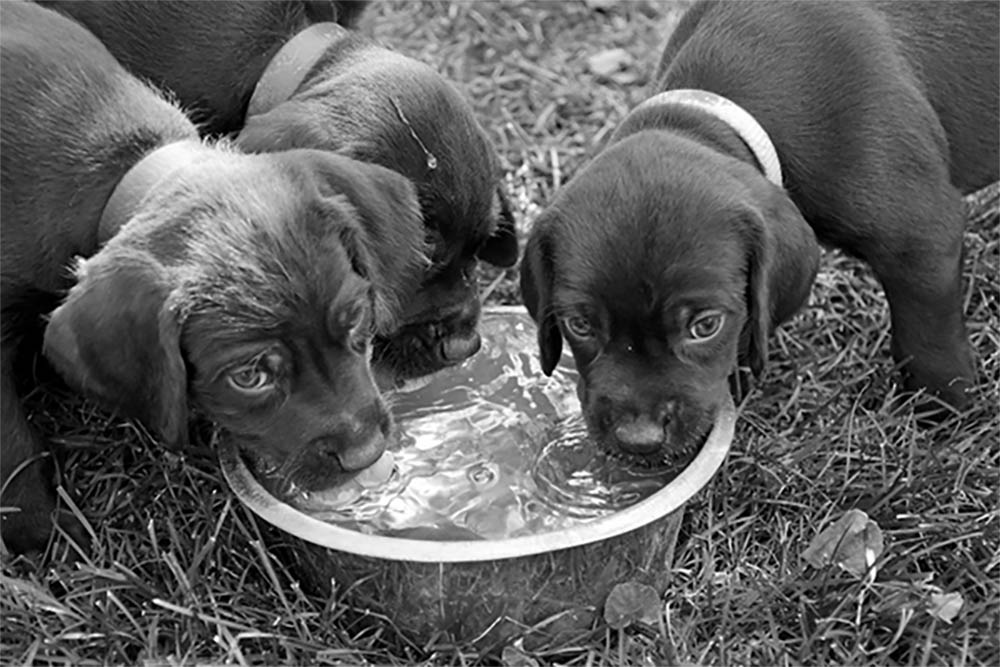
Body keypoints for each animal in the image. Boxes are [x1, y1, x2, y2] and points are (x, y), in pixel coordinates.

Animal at [520, 0, 996, 464]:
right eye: (579, 325)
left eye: (706, 326)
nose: (639, 440)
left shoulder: (921, 238)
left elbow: (927, 337)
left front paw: (943, 413)